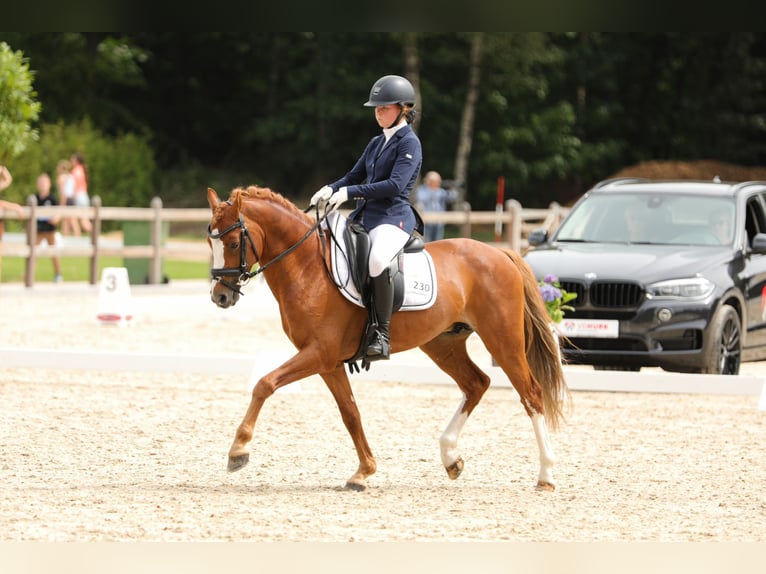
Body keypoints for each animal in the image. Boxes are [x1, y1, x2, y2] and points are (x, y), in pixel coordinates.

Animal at [206, 187, 568, 492]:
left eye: (234, 243)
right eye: (211, 243)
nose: (220, 297)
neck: (307, 266)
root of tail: (501, 254)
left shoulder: (319, 353)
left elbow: (264, 384)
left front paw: (238, 450)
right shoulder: (328, 362)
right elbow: (350, 412)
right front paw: (363, 471)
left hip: (503, 340)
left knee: (531, 394)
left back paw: (546, 476)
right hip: (443, 344)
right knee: (476, 384)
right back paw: (451, 458)